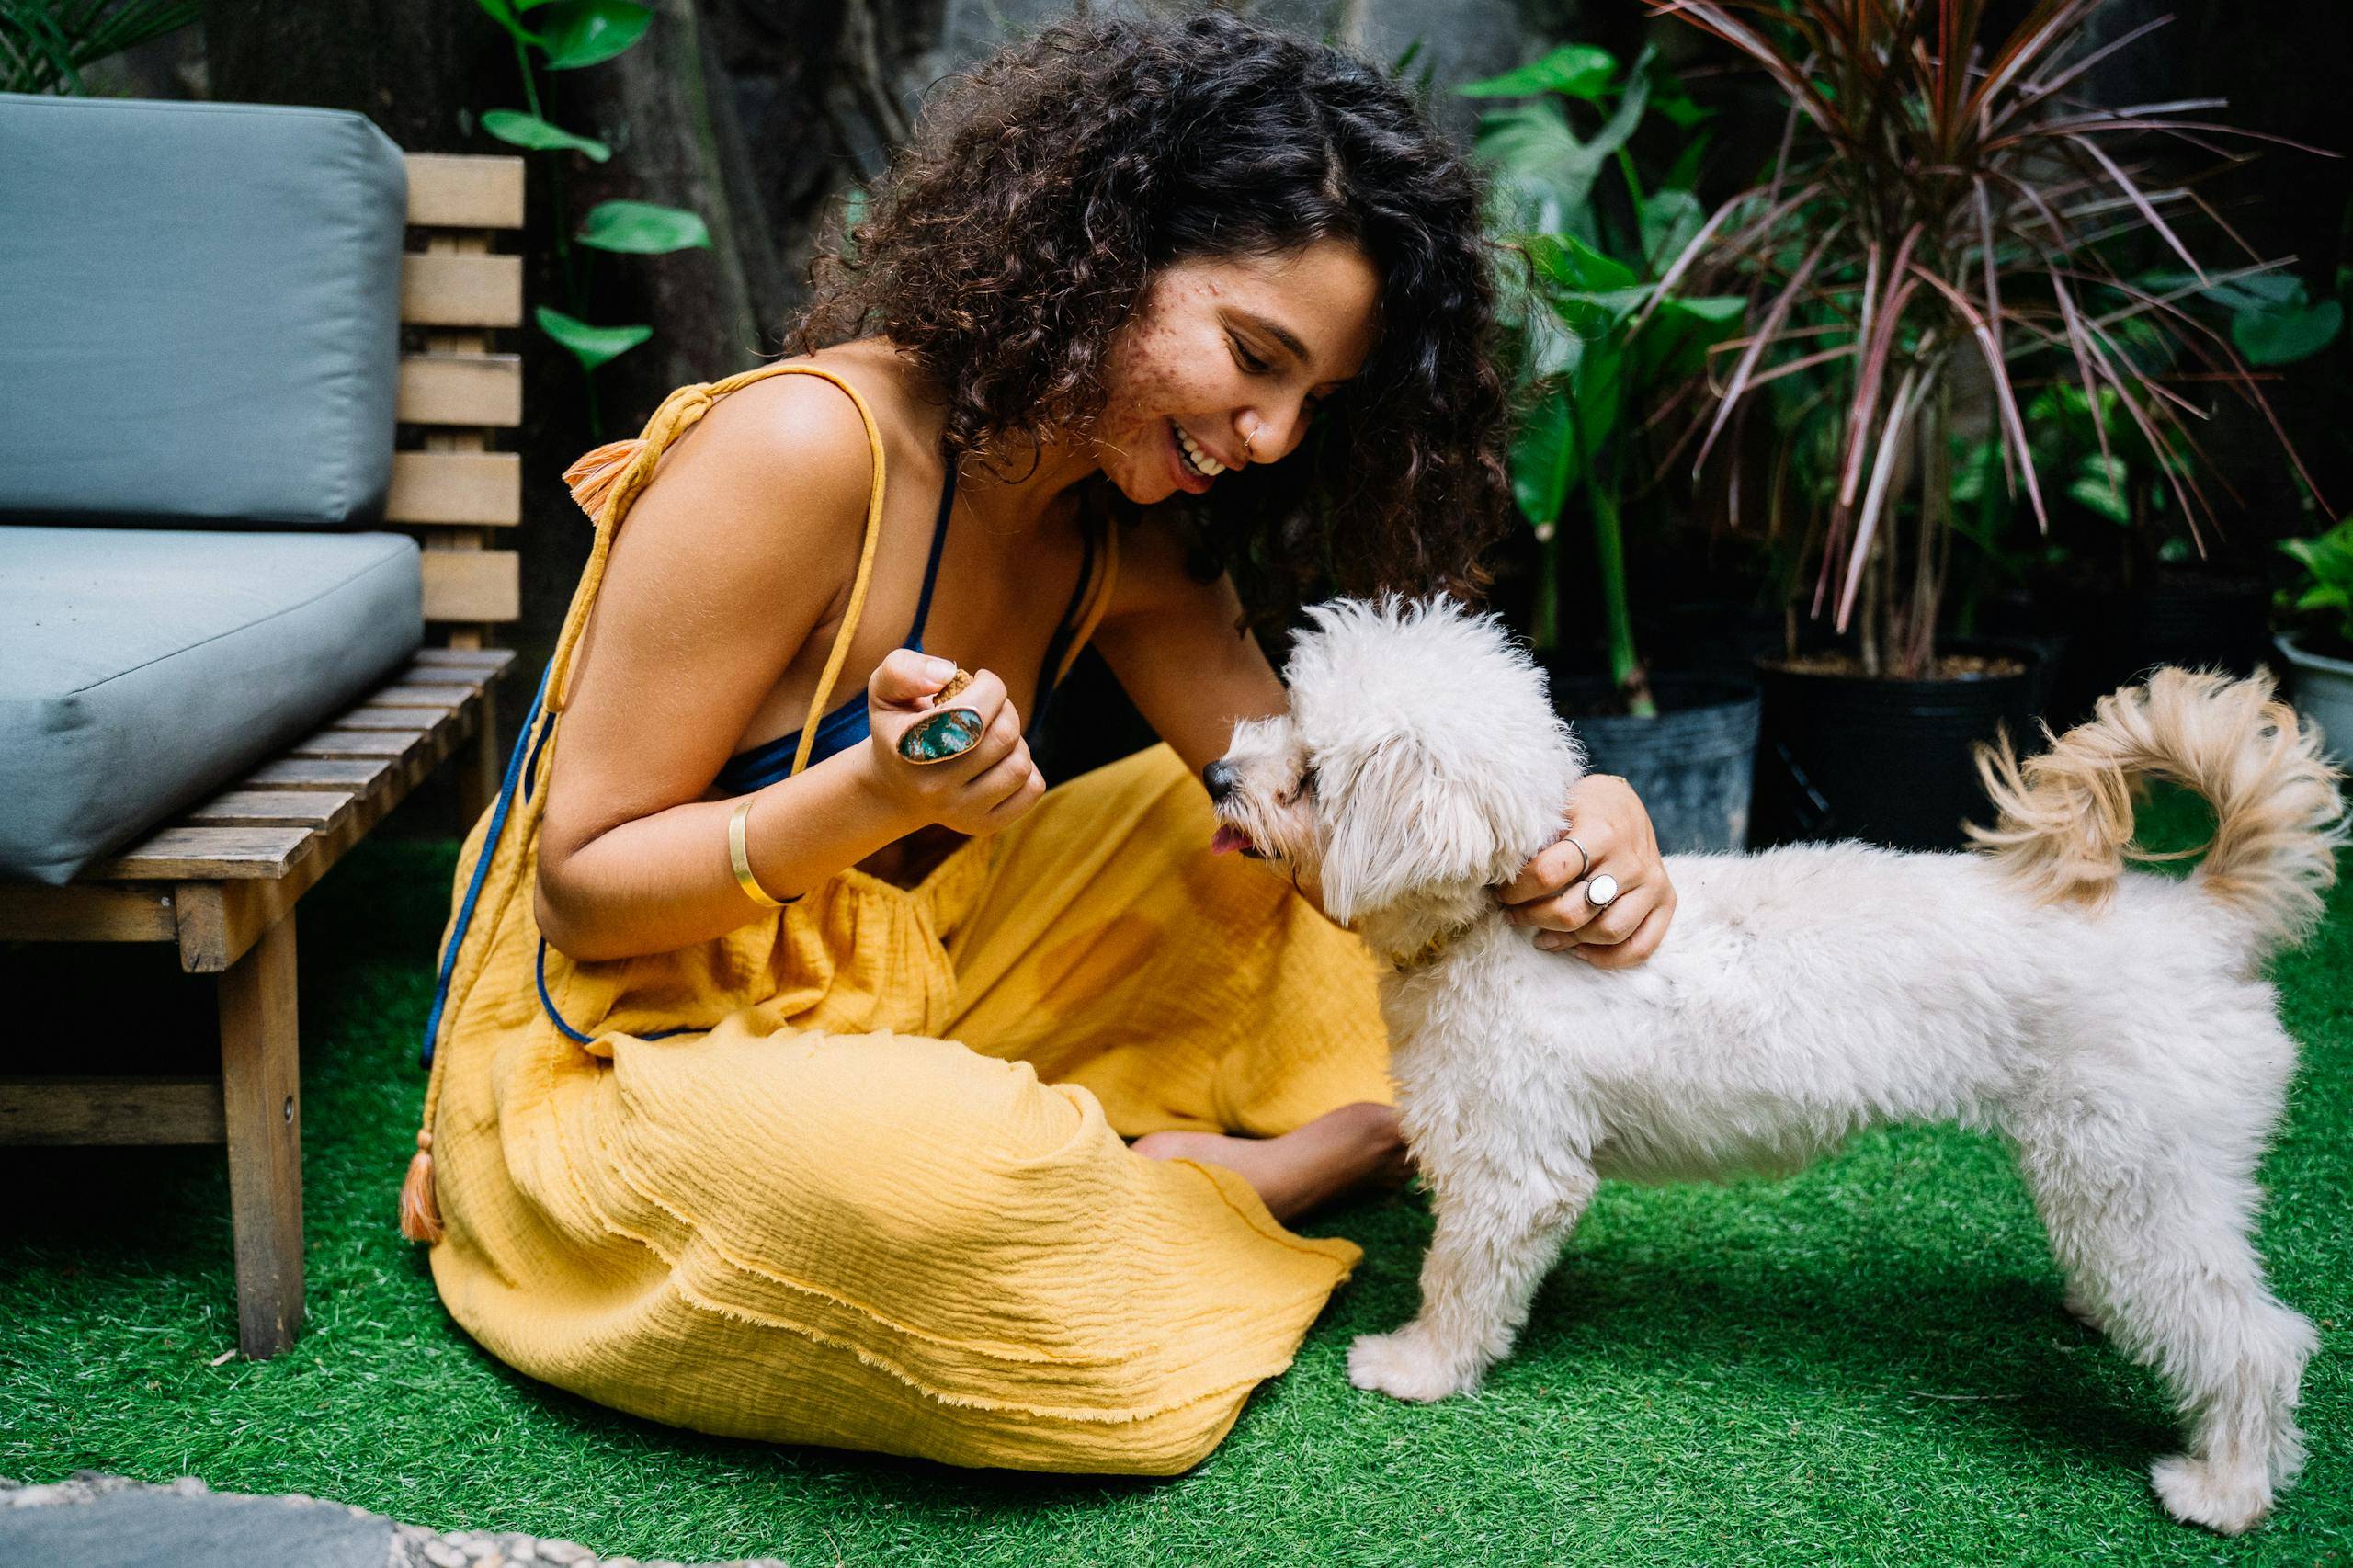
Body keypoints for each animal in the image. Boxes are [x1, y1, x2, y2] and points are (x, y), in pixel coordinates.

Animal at [1204, 596, 2343, 1525]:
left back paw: (2224, 1487)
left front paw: (1418, 1366)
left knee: (2257, 1340)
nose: (1215, 773)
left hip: (2137, 1172)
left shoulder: (1510, 1170)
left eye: (1311, 774)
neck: (1490, 922)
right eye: (1284, 711)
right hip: (2116, 1176)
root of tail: (2202, 916)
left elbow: (1458, 1277)